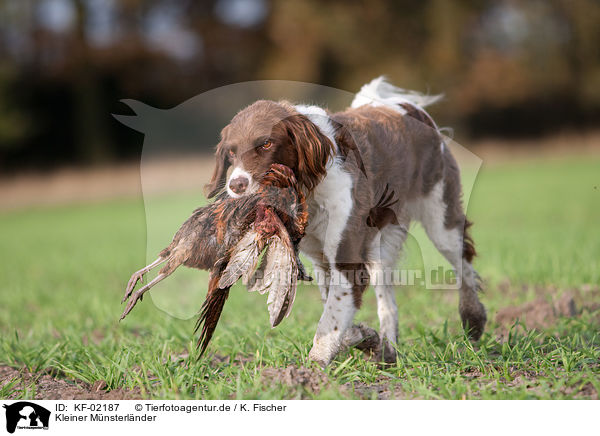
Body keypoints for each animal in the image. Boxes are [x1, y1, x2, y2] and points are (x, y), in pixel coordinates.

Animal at [206, 76, 488, 366]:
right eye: (231, 153)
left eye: (265, 144)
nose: (236, 185)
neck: (310, 187)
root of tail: (407, 107)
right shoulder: (323, 261)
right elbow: (336, 310)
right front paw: (364, 338)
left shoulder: (346, 257)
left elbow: (330, 318)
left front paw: (314, 365)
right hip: (380, 244)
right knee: (388, 300)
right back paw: (387, 350)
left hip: (440, 216)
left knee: (462, 262)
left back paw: (473, 319)